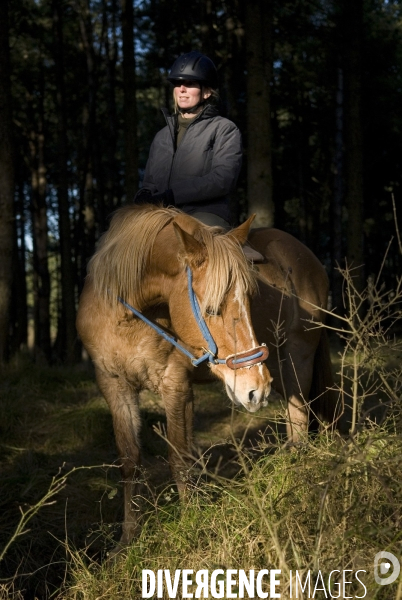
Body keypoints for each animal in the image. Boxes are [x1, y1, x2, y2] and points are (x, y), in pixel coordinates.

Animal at [76, 205, 340, 548]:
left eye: (251, 298)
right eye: (211, 308)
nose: (255, 388)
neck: (126, 316)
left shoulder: (175, 384)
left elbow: (179, 457)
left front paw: (189, 526)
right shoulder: (114, 386)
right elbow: (130, 461)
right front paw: (127, 541)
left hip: (296, 358)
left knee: (299, 423)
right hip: (280, 373)